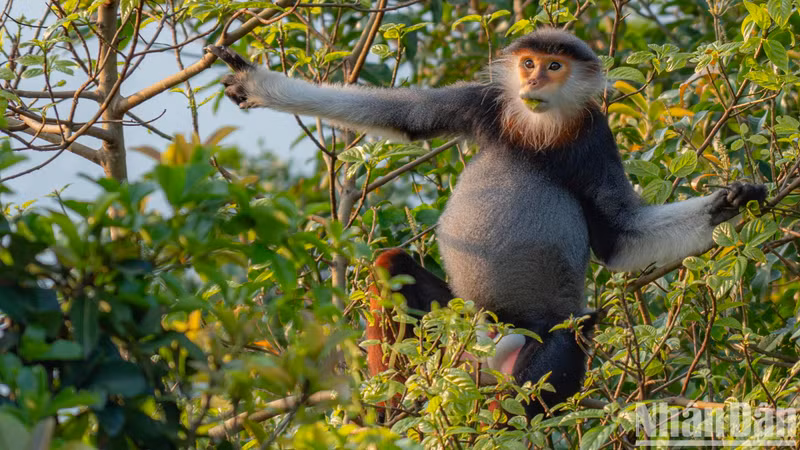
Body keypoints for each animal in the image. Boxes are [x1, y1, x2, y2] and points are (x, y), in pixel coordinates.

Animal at [206, 28, 767, 418]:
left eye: (554, 66)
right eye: (528, 63)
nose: (532, 80)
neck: (540, 128)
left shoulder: (594, 135)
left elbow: (619, 238)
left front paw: (729, 203)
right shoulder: (486, 105)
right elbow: (403, 118)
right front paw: (258, 84)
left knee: (566, 339)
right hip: (453, 324)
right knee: (391, 263)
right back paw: (389, 407)